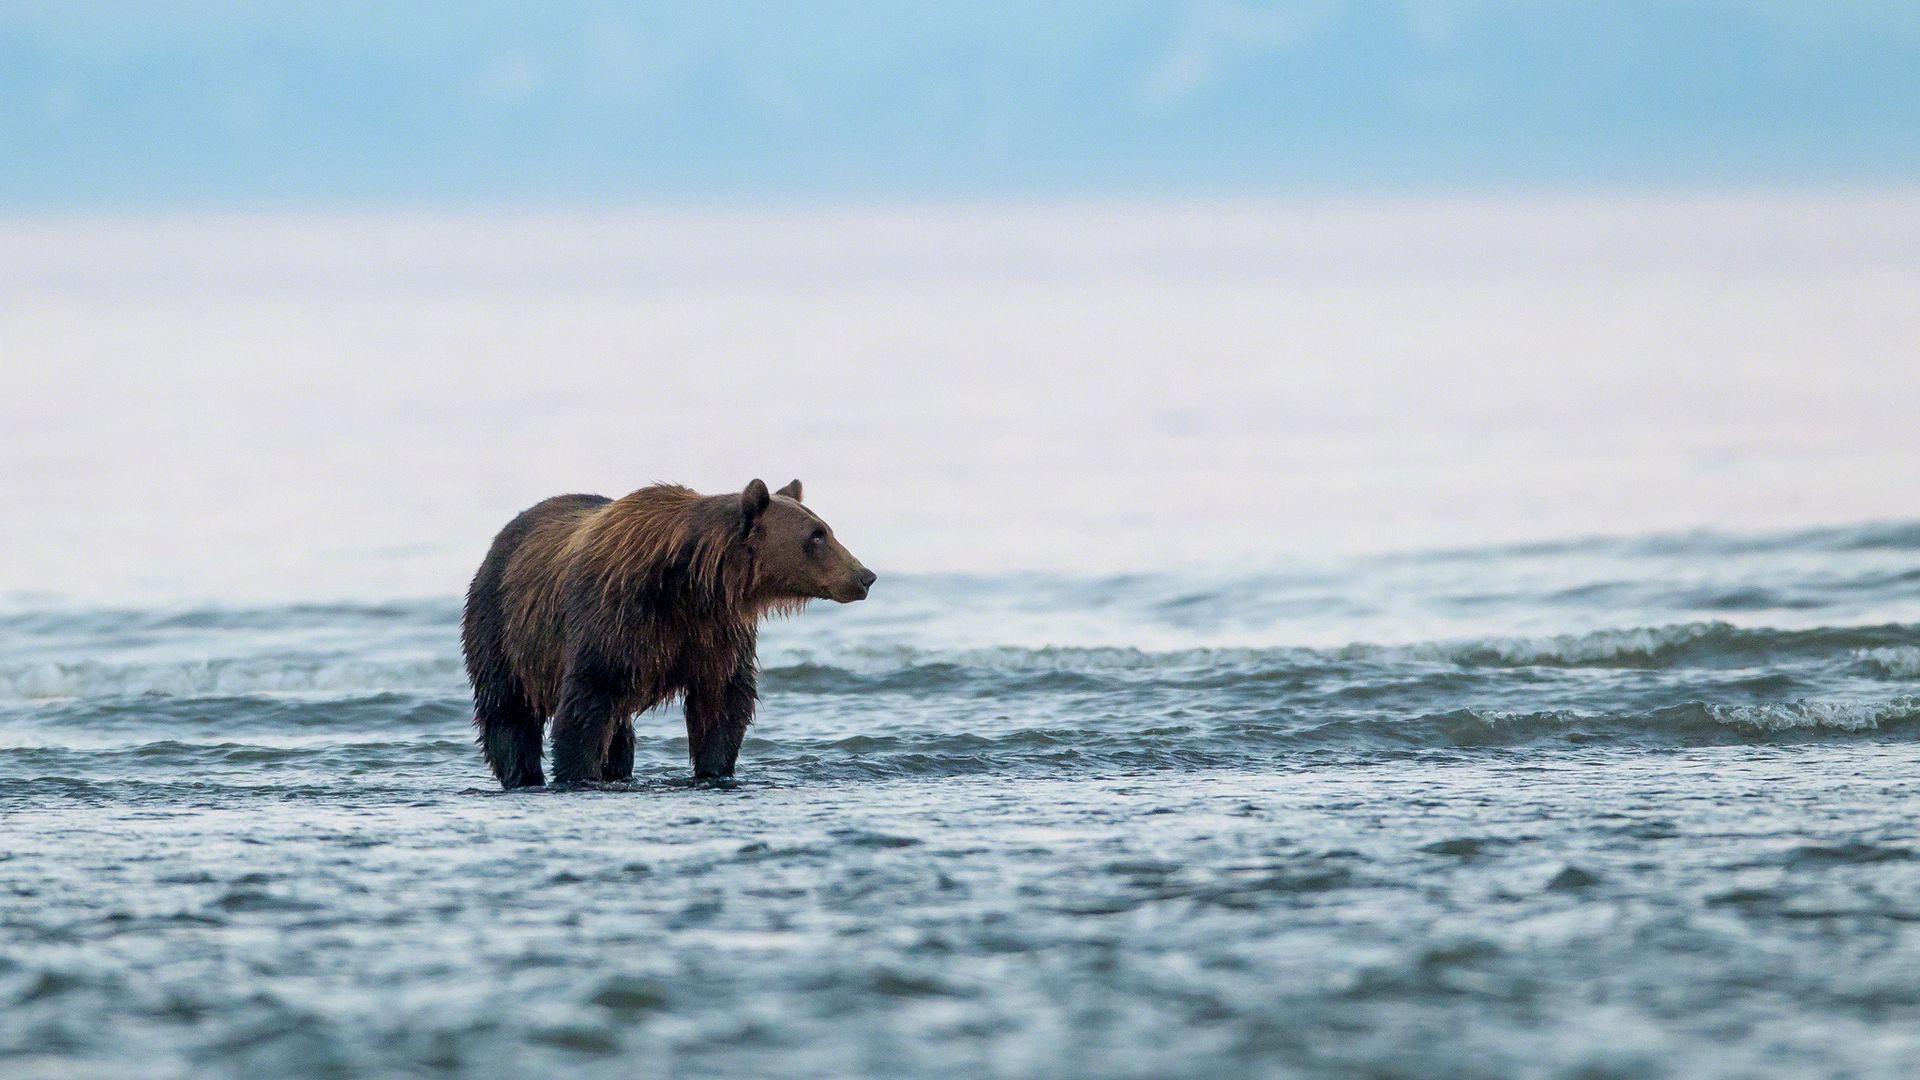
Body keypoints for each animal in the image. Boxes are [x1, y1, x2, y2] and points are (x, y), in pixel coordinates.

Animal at [460, 474, 879, 787]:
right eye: (817, 535)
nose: (865, 575)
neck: (689, 581)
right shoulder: (615, 619)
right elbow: (586, 704)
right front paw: (577, 772)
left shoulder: (714, 631)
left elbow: (722, 702)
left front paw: (715, 770)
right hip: (499, 624)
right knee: (507, 709)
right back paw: (521, 773)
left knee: (619, 732)